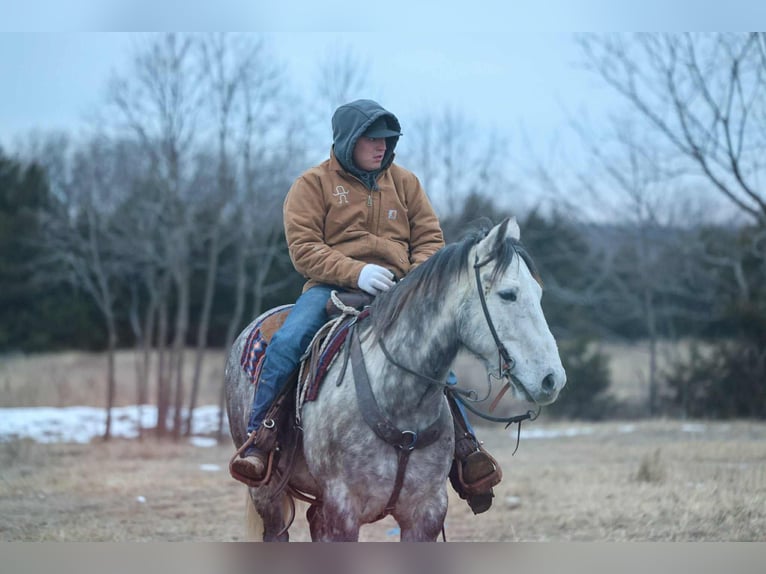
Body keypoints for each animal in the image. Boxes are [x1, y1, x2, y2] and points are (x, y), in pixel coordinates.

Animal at [224, 217, 566, 541]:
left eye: (538, 293)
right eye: (508, 294)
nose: (552, 379)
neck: (399, 401)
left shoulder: (426, 512)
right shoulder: (342, 510)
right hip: (267, 493)